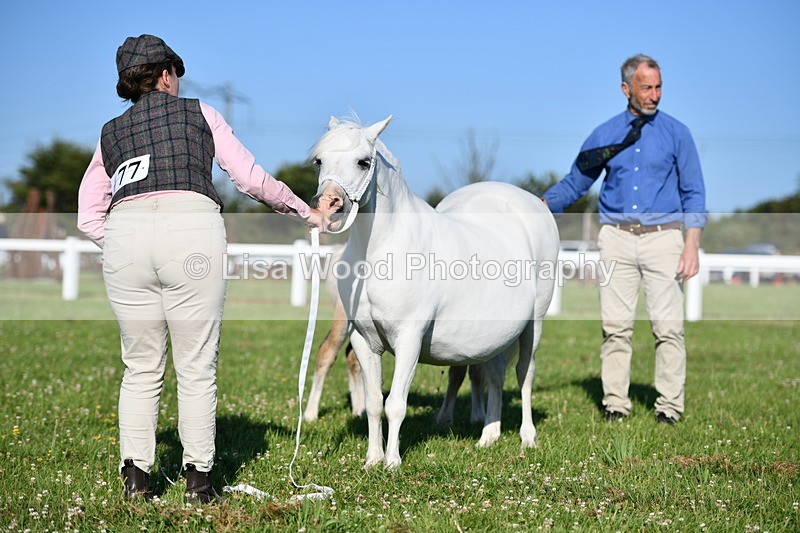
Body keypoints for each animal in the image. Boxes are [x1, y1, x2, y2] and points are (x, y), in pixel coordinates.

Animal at [310, 116, 559, 468]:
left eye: (364, 161)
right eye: (319, 161)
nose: (328, 206)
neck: (380, 252)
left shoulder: (409, 338)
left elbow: (395, 404)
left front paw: (392, 463)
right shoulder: (363, 339)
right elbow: (374, 402)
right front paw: (372, 460)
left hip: (532, 326)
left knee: (525, 374)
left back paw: (527, 437)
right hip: (496, 334)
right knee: (496, 375)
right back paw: (489, 435)